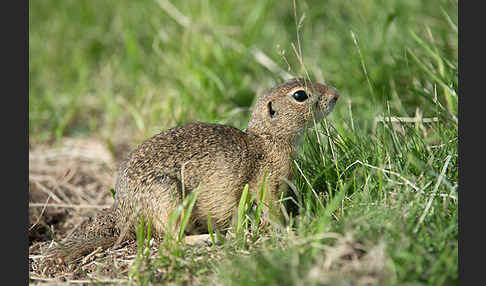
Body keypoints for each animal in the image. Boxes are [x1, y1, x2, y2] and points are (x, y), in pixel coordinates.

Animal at [49, 77, 338, 260]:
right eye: (300, 95)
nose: (335, 95)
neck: (268, 138)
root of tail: (125, 220)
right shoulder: (266, 183)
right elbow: (272, 209)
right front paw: (290, 229)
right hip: (168, 198)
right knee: (171, 240)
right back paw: (206, 239)